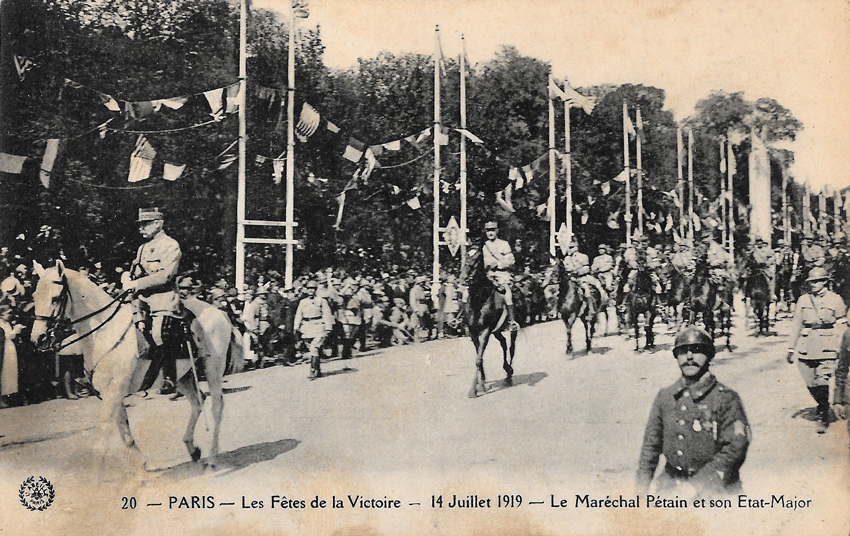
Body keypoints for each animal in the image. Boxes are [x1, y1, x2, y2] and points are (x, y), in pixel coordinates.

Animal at [30, 260, 240, 472]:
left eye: (56, 298)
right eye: (34, 296)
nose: (38, 339)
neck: (105, 331)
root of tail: (221, 313)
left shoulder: (113, 393)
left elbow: (102, 441)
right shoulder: (111, 394)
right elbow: (125, 433)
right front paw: (141, 465)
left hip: (212, 367)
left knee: (216, 406)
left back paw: (212, 458)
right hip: (184, 375)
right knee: (198, 401)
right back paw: (192, 448)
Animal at [463, 251, 527, 398]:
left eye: (476, 260)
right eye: (465, 258)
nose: (464, 278)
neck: (479, 301)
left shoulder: (486, 331)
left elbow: (478, 359)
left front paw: (474, 390)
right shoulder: (473, 333)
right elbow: (479, 357)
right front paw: (482, 385)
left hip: (512, 329)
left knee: (511, 348)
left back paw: (509, 376)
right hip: (497, 331)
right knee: (503, 343)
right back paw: (507, 369)